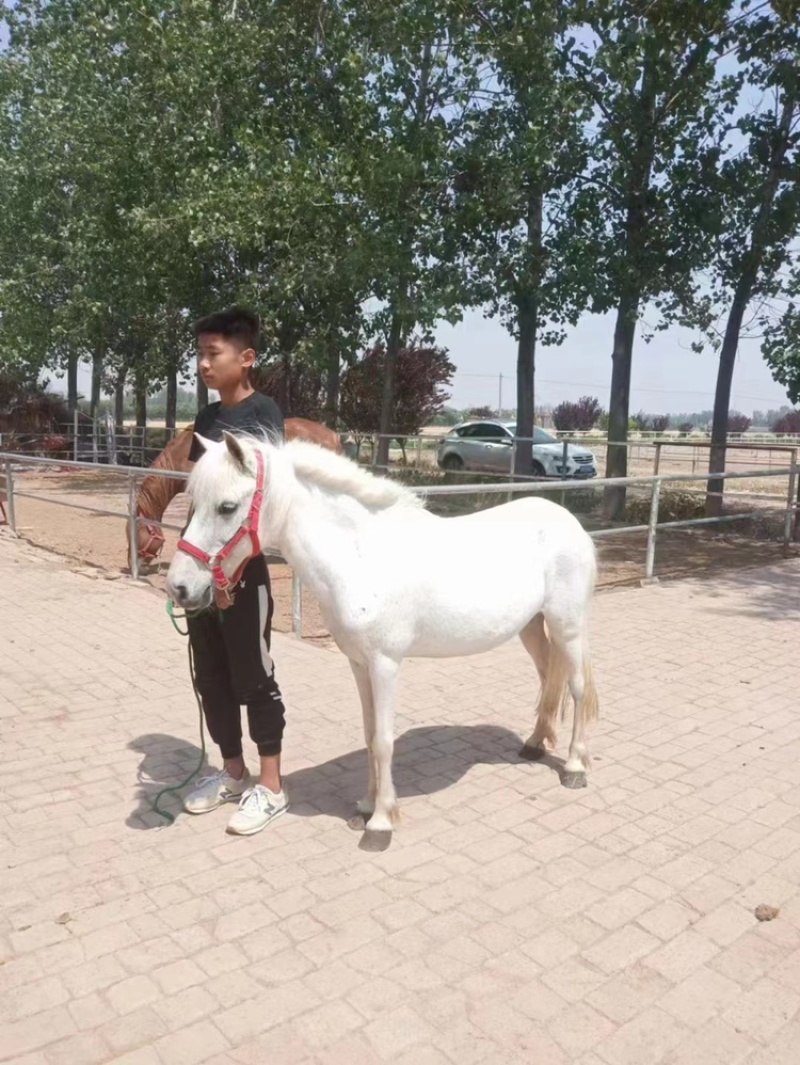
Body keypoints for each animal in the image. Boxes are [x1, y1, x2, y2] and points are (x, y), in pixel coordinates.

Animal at [166, 432, 599, 844]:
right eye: (193, 501)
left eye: (226, 507)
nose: (180, 587)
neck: (360, 558)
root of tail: (568, 521)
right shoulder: (359, 665)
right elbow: (371, 735)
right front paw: (365, 806)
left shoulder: (385, 665)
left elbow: (386, 740)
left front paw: (381, 823)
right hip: (532, 627)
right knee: (548, 679)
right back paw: (535, 744)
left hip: (568, 626)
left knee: (577, 687)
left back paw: (575, 766)